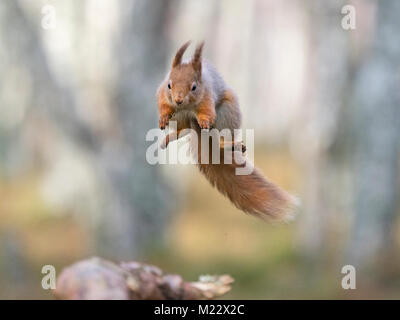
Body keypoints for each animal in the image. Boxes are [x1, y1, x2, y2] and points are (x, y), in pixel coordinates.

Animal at [158, 41, 298, 221]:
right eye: (169, 85)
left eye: (194, 87)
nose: (178, 100)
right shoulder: (163, 94)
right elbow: (163, 105)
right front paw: (163, 117)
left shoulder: (208, 97)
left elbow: (206, 110)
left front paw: (204, 120)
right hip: (179, 118)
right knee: (184, 129)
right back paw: (171, 136)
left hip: (227, 112)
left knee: (220, 138)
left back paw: (229, 143)